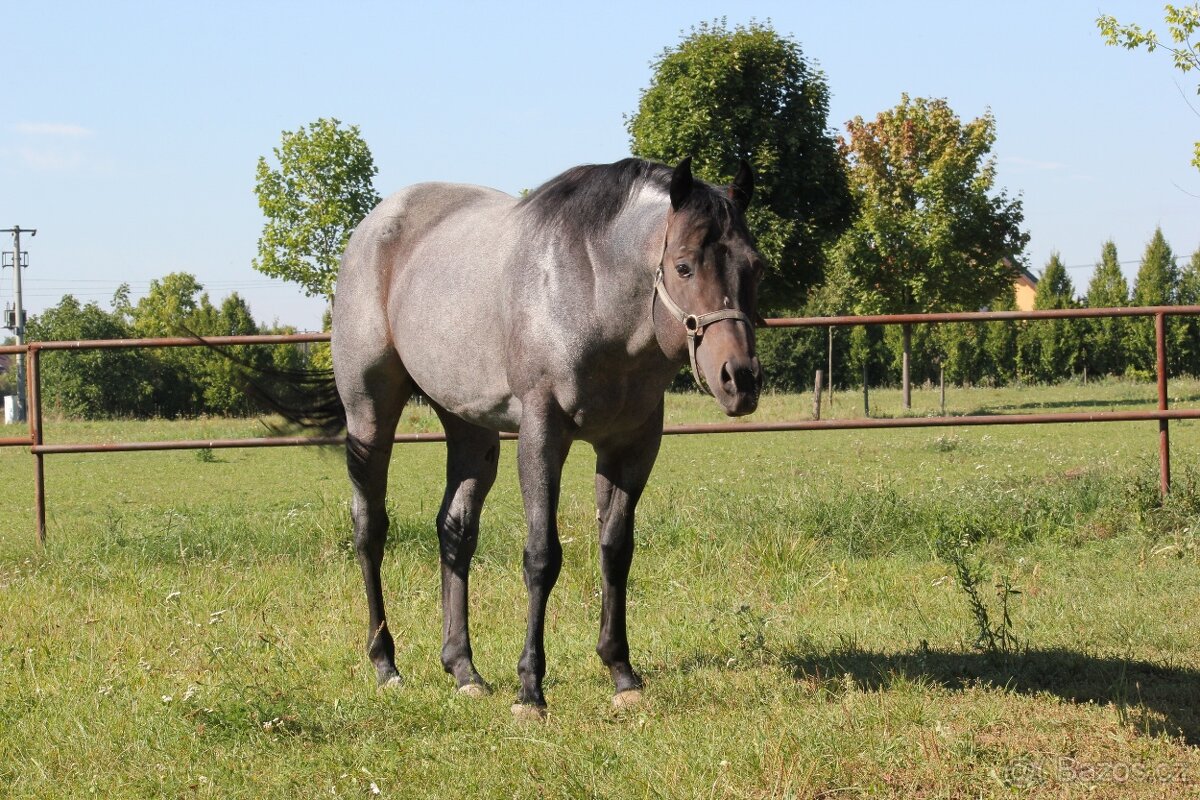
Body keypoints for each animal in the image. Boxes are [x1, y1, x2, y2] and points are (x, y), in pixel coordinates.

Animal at [319, 154, 763, 714]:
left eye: (755, 267)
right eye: (683, 265)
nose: (740, 379)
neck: (591, 290)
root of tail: (372, 227)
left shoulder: (632, 445)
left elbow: (616, 550)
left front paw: (622, 673)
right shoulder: (542, 435)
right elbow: (541, 556)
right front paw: (530, 689)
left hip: (469, 427)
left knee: (455, 532)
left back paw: (463, 670)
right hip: (369, 416)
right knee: (369, 528)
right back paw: (386, 663)